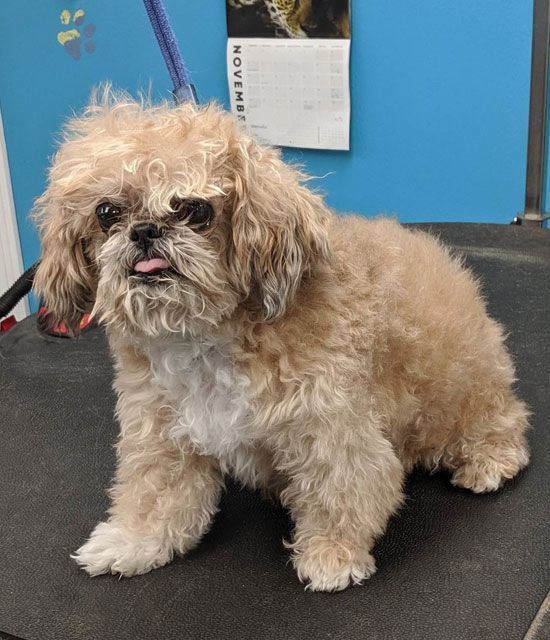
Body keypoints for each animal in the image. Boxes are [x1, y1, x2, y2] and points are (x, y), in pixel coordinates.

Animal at [33, 92, 532, 592]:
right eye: (107, 213)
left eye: (195, 209)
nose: (145, 231)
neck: (205, 336)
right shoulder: (160, 429)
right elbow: (155, 494)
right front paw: (133, 541)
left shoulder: (331, 427)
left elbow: (340, 491)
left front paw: (331, 556)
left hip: (463, 391)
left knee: (502, 420)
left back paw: (489, 461)